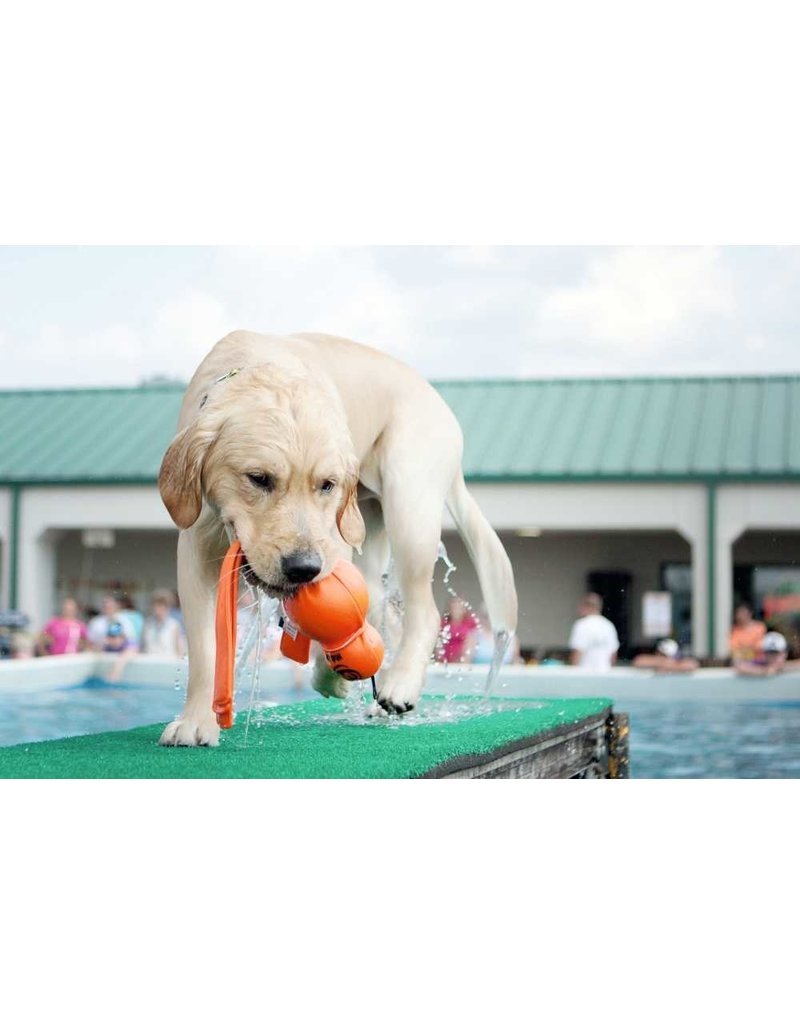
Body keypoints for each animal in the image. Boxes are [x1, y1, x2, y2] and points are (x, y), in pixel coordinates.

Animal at [156, 333, 518, 745]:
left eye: (326, 485)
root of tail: (442, 404)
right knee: (387, 613)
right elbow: (204, 648)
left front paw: (332, 676)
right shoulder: (197, 543)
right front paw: (195, 721)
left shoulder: (333, 541)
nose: (303, 568)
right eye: (258, 478)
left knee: (421, 609)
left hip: (408, 504)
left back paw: (400, 685)